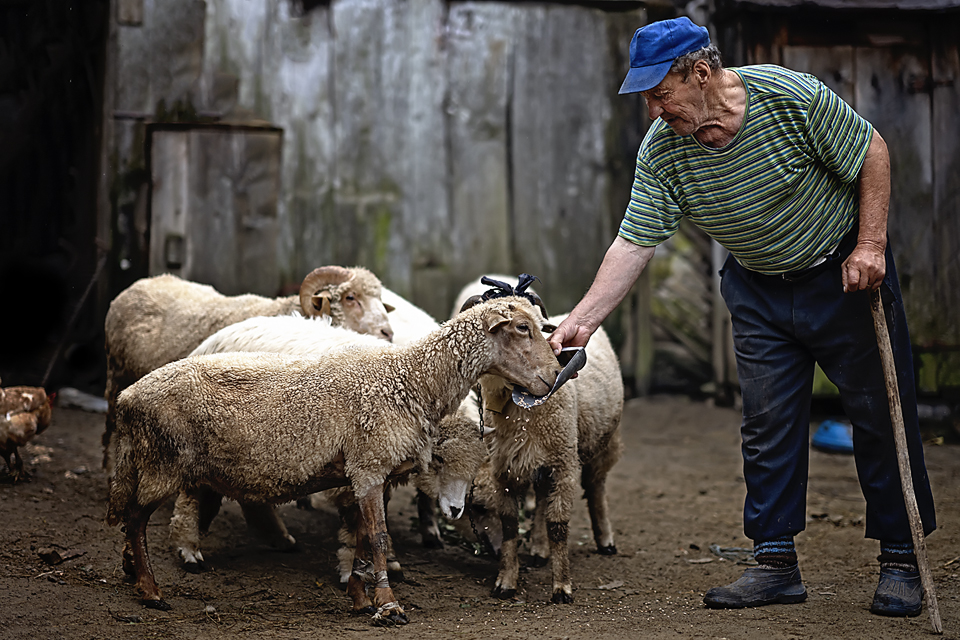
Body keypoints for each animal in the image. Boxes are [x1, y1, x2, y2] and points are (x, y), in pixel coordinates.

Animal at [101, 266, 394, 470]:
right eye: (350, 297)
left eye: (380, 300)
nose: (388, 332)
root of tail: (141, 282)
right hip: (116, 372)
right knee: (112, 422)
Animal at [106, 296, 561, 624]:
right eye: (523, 328)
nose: (555, 375)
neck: (407, 379)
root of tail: (129, 398)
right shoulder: (369, 467)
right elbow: (377, 538)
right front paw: (388, 606)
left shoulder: (363, 473)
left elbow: (360, 536)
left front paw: (360, 598)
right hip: (163, 461)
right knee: (136, 516)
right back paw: (151, 588)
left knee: (134, 515)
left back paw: (133, 569)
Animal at [457, 277, 624, 604]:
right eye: (521, 327)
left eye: (538, 326)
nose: (554, 373)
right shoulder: (505, 468)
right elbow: (510, 525)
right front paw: (506, 582)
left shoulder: (565, 464)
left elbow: (558, 526)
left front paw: (562, 588)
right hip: (541, 459)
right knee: (543, 496)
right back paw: (538, 548)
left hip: (602, 442)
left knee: (596, 487)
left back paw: (605, 539)